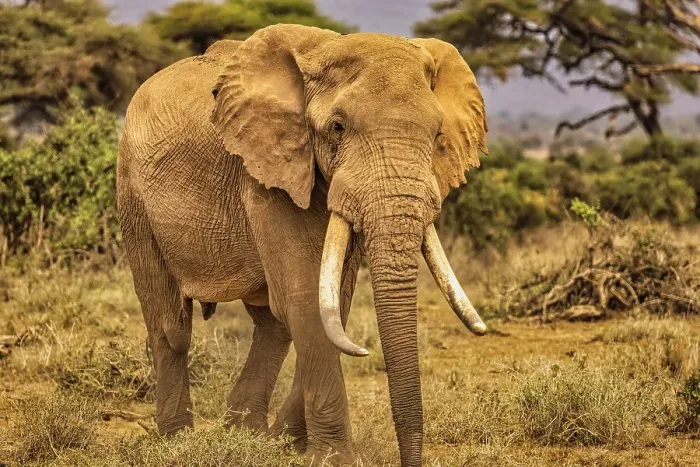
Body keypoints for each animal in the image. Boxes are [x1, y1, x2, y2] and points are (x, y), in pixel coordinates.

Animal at [117, 24, 488, 466]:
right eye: (338, 127)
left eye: (437, 135)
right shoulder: (267, 170)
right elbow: (308, 301)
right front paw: (334, 459)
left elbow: (331, 305)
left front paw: (287, 444)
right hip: (133, 194)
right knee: (171, 325)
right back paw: (178, 440)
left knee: (272, 326)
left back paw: (248, 435)